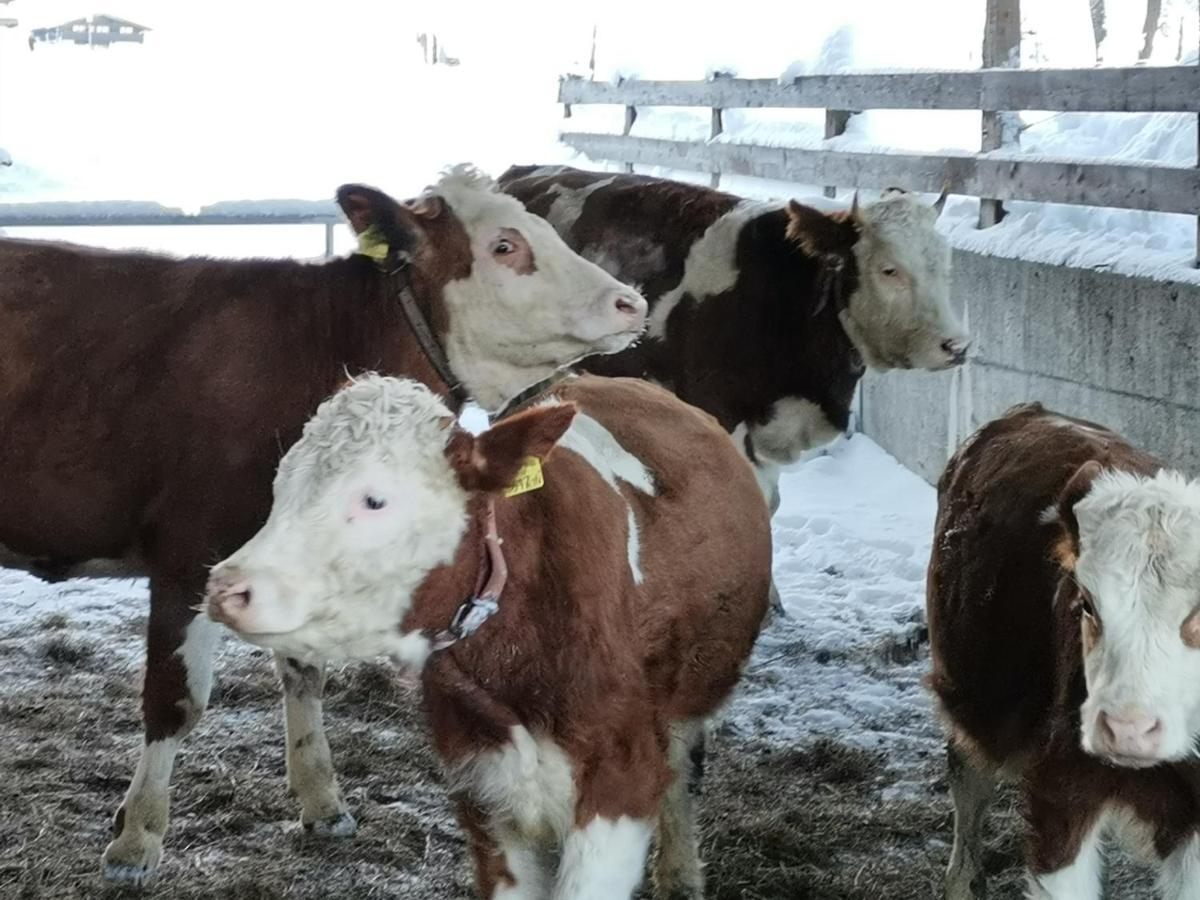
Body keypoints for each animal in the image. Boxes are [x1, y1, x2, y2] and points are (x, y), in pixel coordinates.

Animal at [0, 169, 648, 888]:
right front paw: (136, 839)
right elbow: (175, 701)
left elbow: (305, 672)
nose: (630, 302)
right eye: (505, 245)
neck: (315, 342)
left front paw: (322, 800)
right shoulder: (187, 553)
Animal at [204, 374, 768, 900]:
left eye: (375, 499)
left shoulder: (618, 786)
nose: (227, 587)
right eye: (281, 486)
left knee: (682, 774)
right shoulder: (484, 793)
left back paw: (680, 876)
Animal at [926, 403, 1200, 900]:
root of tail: (1031, 411)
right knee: (967, 785)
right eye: (1086, 603)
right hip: (970, 692)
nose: (1128, 730)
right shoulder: (1061, 790)